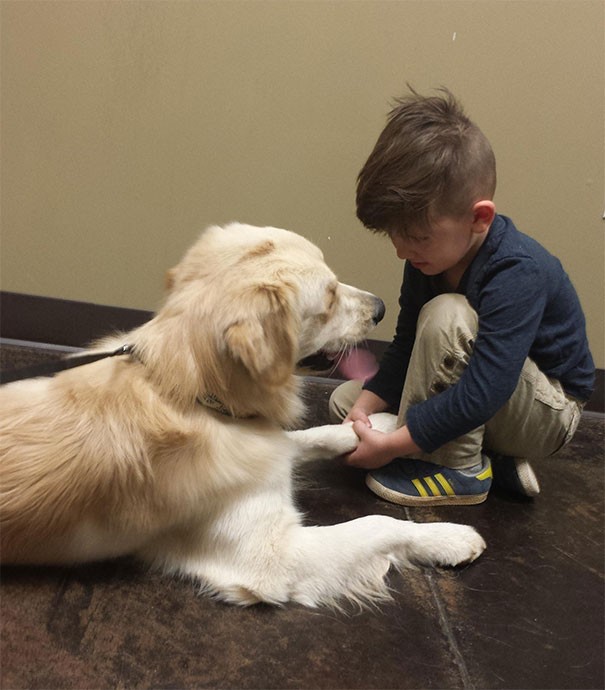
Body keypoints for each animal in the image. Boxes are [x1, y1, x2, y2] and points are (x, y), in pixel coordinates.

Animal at [0, 223, 484, 604]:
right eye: (328, 298)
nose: (382, 307)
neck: (192, 394)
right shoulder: (271, 554)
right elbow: (377, 524)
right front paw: (449, 537)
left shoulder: (264, 441)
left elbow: (311, 437)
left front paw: (375, 427)